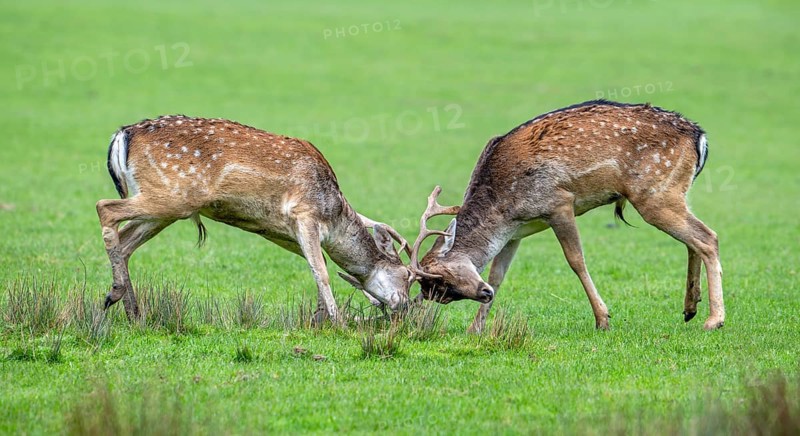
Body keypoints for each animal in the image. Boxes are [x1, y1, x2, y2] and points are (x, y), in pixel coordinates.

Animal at [97, 114, 414, 324]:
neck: (333, 213)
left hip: (166, 207)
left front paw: (319, 318)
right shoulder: (304, 213)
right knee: (105, 207)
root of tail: (121, 136)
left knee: (125, 241)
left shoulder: (280, 230)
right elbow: (321, 271)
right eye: (407, 275)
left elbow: (315, 265)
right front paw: (339, 322)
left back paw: (134, 313)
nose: (407, 306)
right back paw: (114, 294)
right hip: (172, 197)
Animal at [409, 100, 725, 332]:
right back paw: (690, 308)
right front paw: (475, 329)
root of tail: (700, 137)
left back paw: (714, 320)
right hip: (672, 193)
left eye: (443, 280)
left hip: (655, 193)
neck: (504, 209)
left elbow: (576, 260)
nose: (483, 293)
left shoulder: (559, 203)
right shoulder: (515, 232)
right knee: (693, 240)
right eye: (437, 291)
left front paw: (602, 319)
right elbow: (498, 274)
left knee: (707, 237)